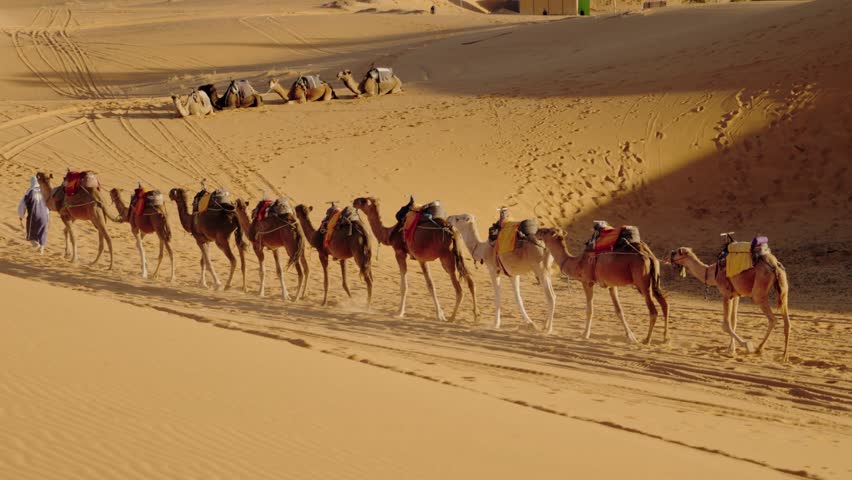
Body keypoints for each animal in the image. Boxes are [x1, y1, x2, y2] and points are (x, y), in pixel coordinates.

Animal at [536, 228, 669, 344]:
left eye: (546, 231)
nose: (537, 231)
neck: (578, 263)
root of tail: (649, 256)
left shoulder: (587, 282)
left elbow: (590, 310)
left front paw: (585, 334)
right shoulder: (611, 286)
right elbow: (619, 311)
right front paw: (631, 337)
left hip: (642, 282)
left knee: (653, 310)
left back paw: (647, 340)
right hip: (655, 280)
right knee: (664, 304)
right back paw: (665, 338)